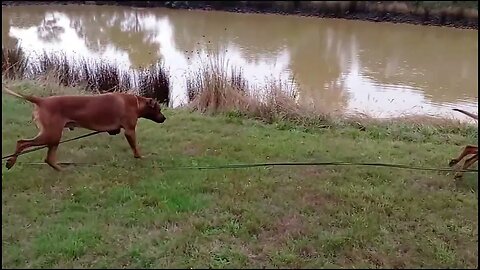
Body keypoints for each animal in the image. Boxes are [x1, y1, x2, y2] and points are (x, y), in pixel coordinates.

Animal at [3, 86, 167, 171]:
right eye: (159, 109)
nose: (164, 118)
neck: (136, 103)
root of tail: (41, 101)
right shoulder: (130, 130)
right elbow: (135, 148)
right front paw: (141, 157)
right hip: (51, 134)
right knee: (22, 143)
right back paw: (11, 161)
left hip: (54, 137)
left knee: (48, 158)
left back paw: (61, 170)